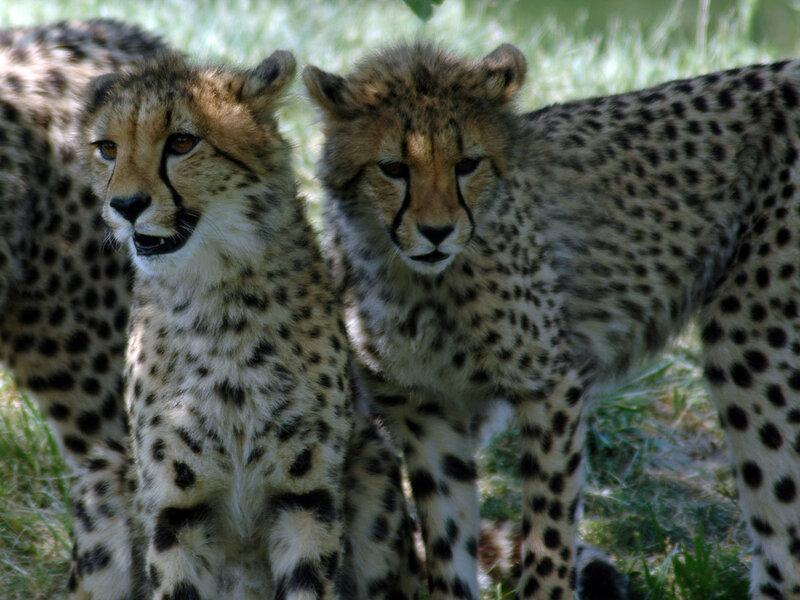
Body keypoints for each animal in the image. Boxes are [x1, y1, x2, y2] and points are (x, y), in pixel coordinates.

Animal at [78, 50, 422, 600]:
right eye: (107, 148)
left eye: (182, 142)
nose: (125, 206)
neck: (218, 299)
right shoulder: (177, 506)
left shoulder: (306, 496)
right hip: (104, 471)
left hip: (374, 460)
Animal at [303, 41, 800, 599]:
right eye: (392, 168)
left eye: (467, 164)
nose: (436, 232)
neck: (423, 284)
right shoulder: (426, 412)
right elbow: (448, 542)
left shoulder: (551, 387)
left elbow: (549, 530)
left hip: (750, 338)